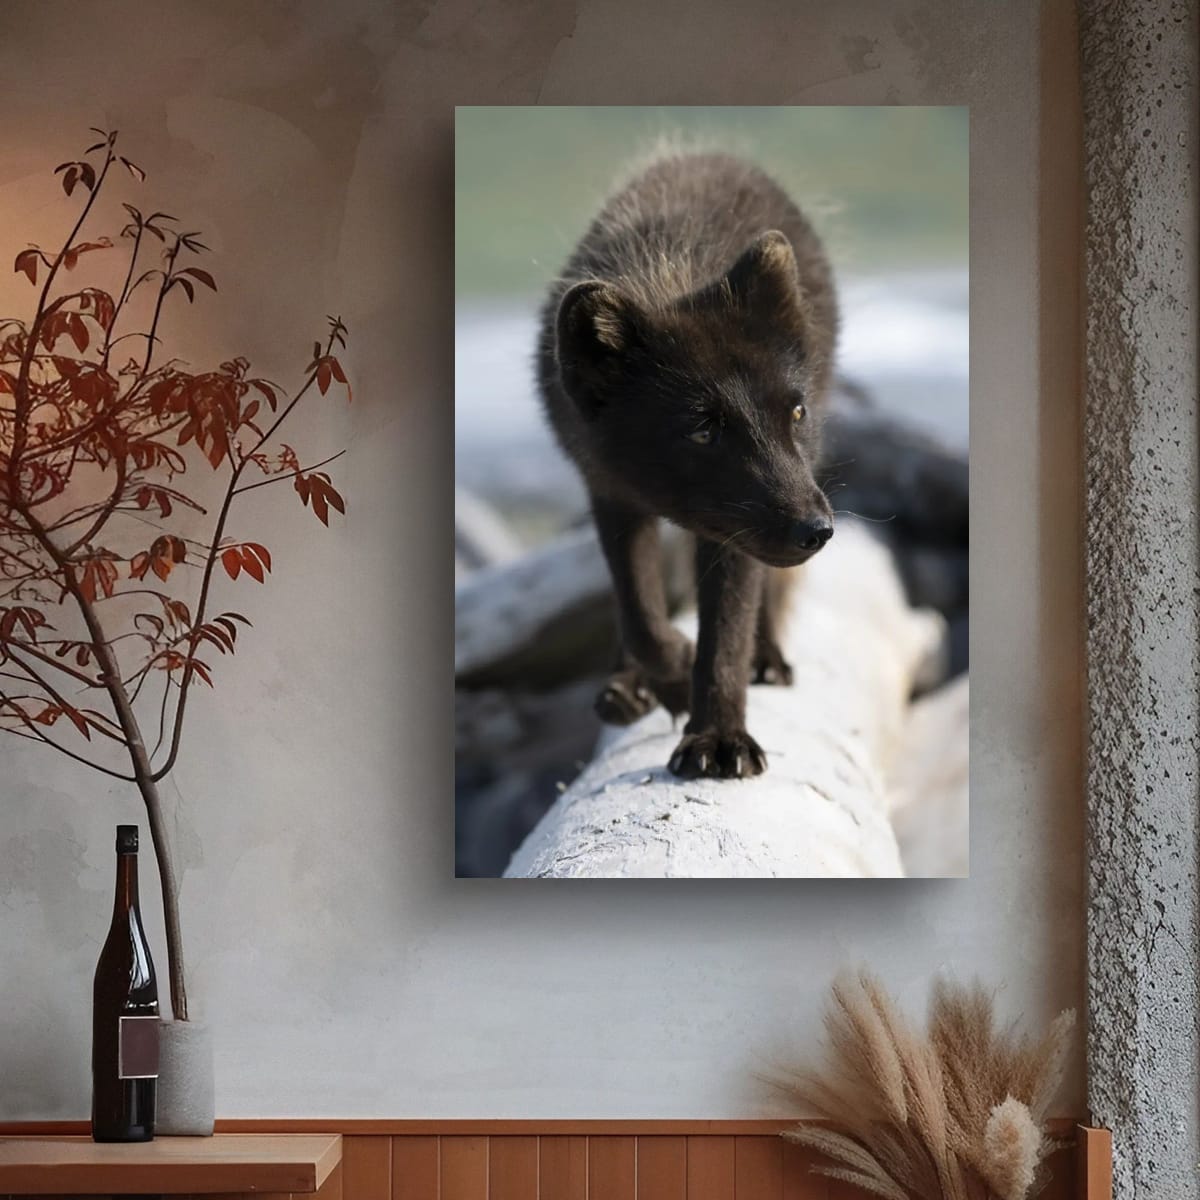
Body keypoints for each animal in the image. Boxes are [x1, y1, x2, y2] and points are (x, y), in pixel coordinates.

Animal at [537, 150, 838, 780]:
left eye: (796, 411)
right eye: (703, 430)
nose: (819, 532)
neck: (673, 271)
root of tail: (714, 153)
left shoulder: (736, 531)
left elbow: (726, 631)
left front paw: (720, 738)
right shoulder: (609, 493)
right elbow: (641, 616)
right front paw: (673, 674)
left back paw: (766, 657)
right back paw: (629, 684)